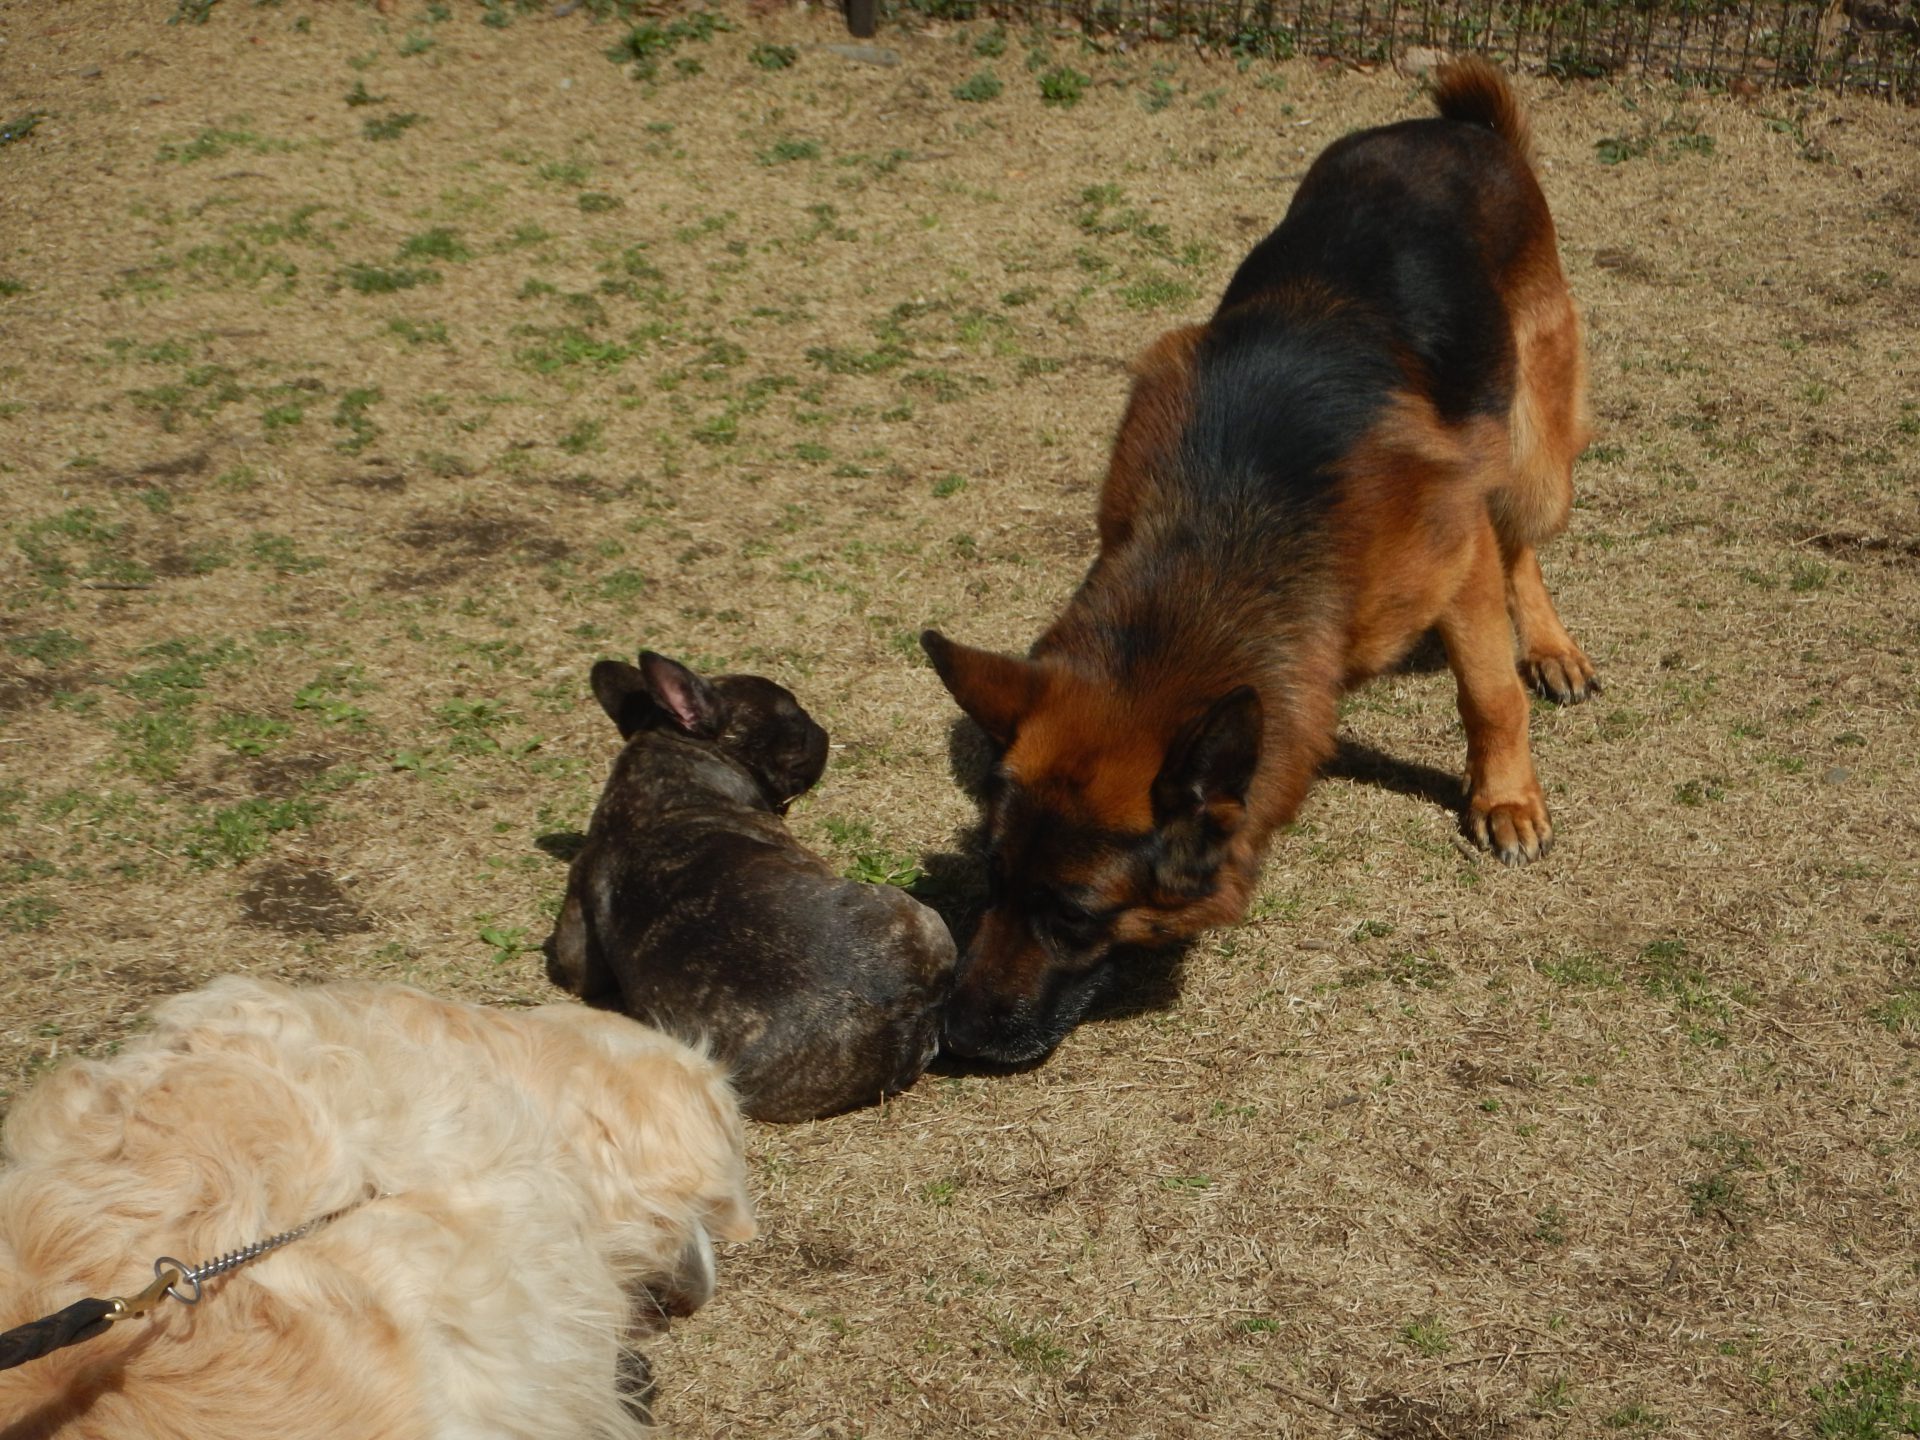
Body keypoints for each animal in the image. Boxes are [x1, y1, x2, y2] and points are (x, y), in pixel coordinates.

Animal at [921, 61, 1597, 1067]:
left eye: (1074, 914)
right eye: (991, 881)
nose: (953, 1034)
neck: (1227, 531)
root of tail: (1460, 127)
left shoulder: (1457, 552)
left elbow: (1488, 691)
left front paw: (1506, 796)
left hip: (1527, 449)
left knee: (1525, 546)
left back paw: (1549, 646)